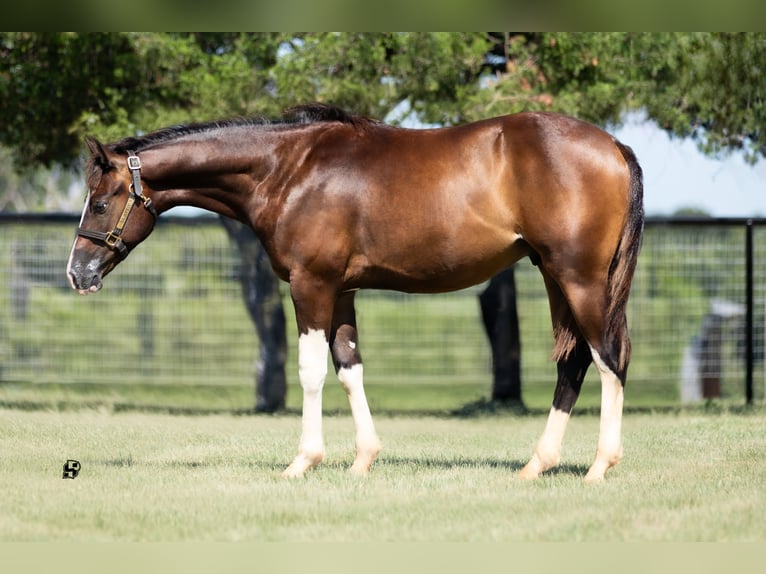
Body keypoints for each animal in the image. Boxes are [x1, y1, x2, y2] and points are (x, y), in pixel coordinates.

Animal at [66, 103, 644, 482]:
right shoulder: (341, 291)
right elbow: (349, 367)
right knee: (573, 362)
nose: (77, 273)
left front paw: (303, 462)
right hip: (554, 275)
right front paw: (363, 460)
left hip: (579, 278)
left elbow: (311, 371)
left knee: (608, 357)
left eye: (99, 201)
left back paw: (600, 466)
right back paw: (535, 465)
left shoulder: (312, 285)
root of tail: (613, 145)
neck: (288, 169)